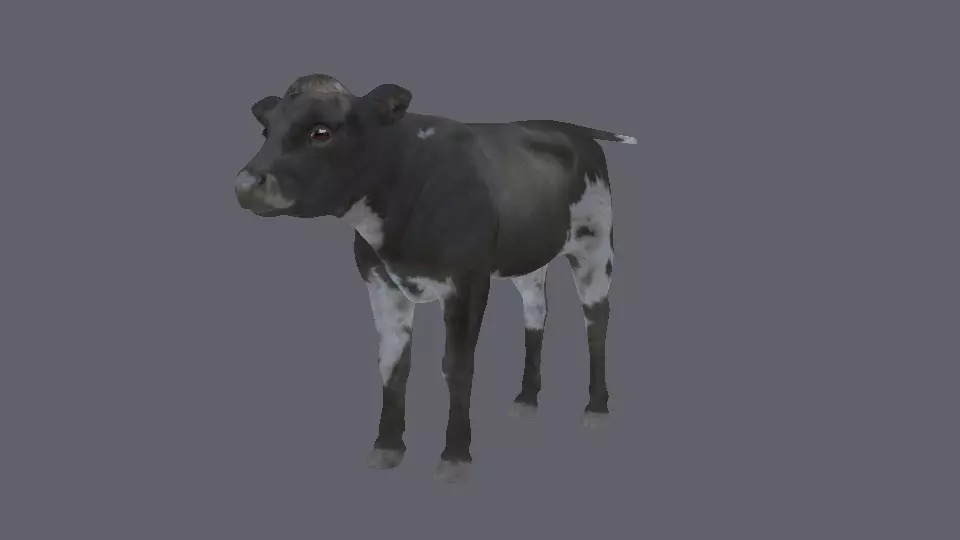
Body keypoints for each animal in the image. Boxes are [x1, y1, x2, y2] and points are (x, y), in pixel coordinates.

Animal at [234, 74, 636, 482]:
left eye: (321, 132)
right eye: (267, 129)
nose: (246, 184)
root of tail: (567, 127)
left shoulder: (468, 281)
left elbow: (456, 365)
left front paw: (455, 457)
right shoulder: (379, 280)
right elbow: (393, 361)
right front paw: (387, 446)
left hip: (595, 244)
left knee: (596, 321)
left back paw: (596, 408)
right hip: (528, 258)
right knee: (536, 311)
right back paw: (526, 398)